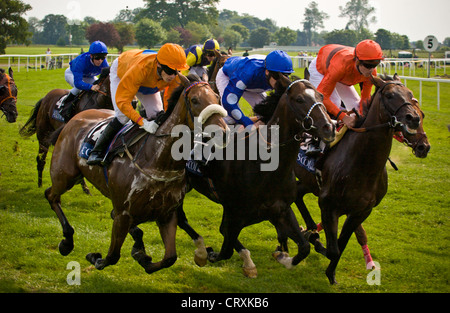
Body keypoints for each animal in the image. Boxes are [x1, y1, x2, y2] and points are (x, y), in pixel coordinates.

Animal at [45, 73, 229, 272]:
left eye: (217, 98)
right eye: (194, 100)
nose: (223, 133)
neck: (158, 162)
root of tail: (75, 118)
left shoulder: (167, 214)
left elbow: (170, 258)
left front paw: (142, 256)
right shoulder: (123, 214)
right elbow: (112, 256)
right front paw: (96, 257)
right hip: (65, 175)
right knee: (51, 195)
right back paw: (66, 242)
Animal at [178, 75, 336, 276]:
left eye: (321, 96)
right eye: (300, 99)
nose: (329, 127)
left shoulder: (281, 210)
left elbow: (304, 247)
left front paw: (283, 257)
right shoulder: (236, 213)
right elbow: (226, 249)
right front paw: (210, 254)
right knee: (181, 218)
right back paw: (202, 251)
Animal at [290, 73, 424, 282]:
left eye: (410, 94)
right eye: (390, 95)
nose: (414, 118)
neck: (363, 164)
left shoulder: (361, 211)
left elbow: (342, 244)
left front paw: (330, 272)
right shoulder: (328, 204)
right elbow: (333, 249)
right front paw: (312, 238)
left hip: (309, 182)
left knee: (297, 193)